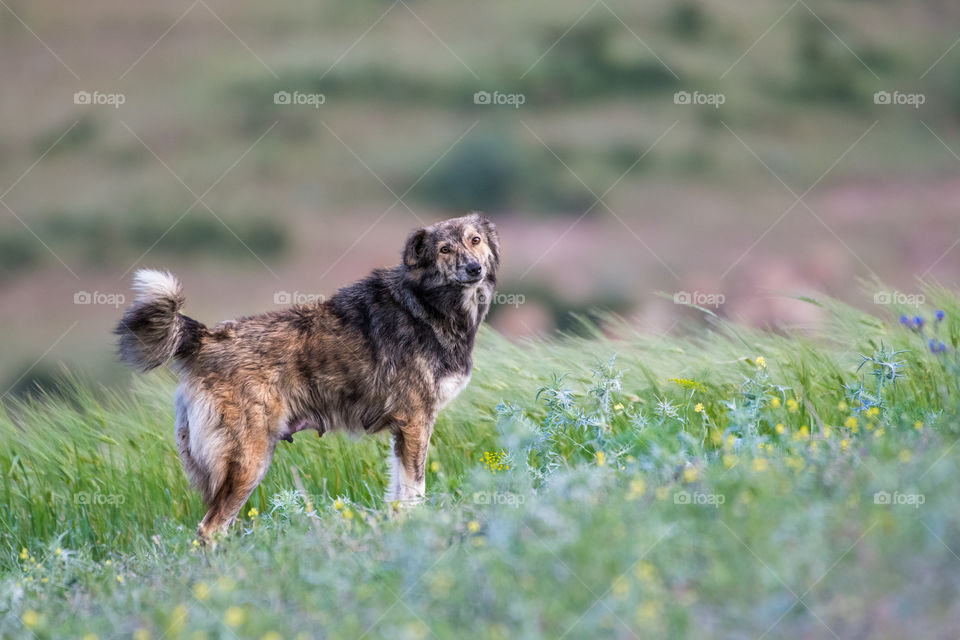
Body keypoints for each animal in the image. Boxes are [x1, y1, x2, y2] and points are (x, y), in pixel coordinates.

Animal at [116, 214, 498, 540]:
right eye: (444, 249)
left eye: (475, 240)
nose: (474, 268)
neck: (427, 305)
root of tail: (206, 338)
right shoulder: (416, 422)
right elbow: (415, 491)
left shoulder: (402, 431)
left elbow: (399, 495)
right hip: (249, 461)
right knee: (210, 529)